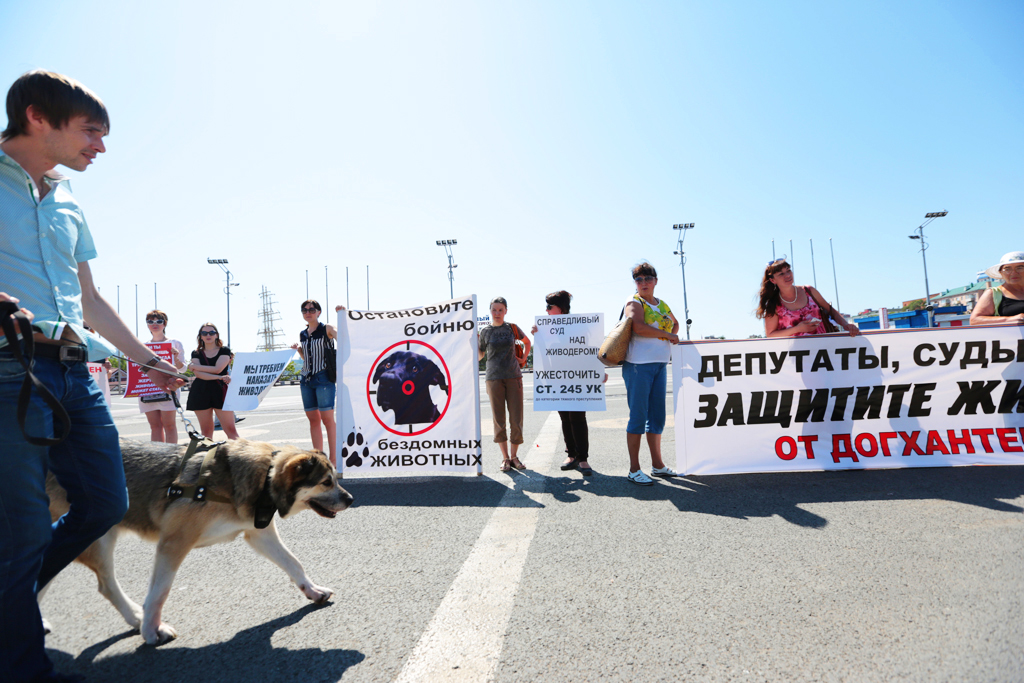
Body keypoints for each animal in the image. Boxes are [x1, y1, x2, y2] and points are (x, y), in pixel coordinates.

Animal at [43, 440, 352, 643]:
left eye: (335, 479)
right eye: (326, 482)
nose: (350, 499)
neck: (264, 475)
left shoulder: (258, 535)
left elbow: (294, 563)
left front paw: (312, 590)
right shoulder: (173, 543)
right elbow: (159, 592)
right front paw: (152, 630)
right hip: (94, 539)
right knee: (100, 583)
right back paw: (137, 620)